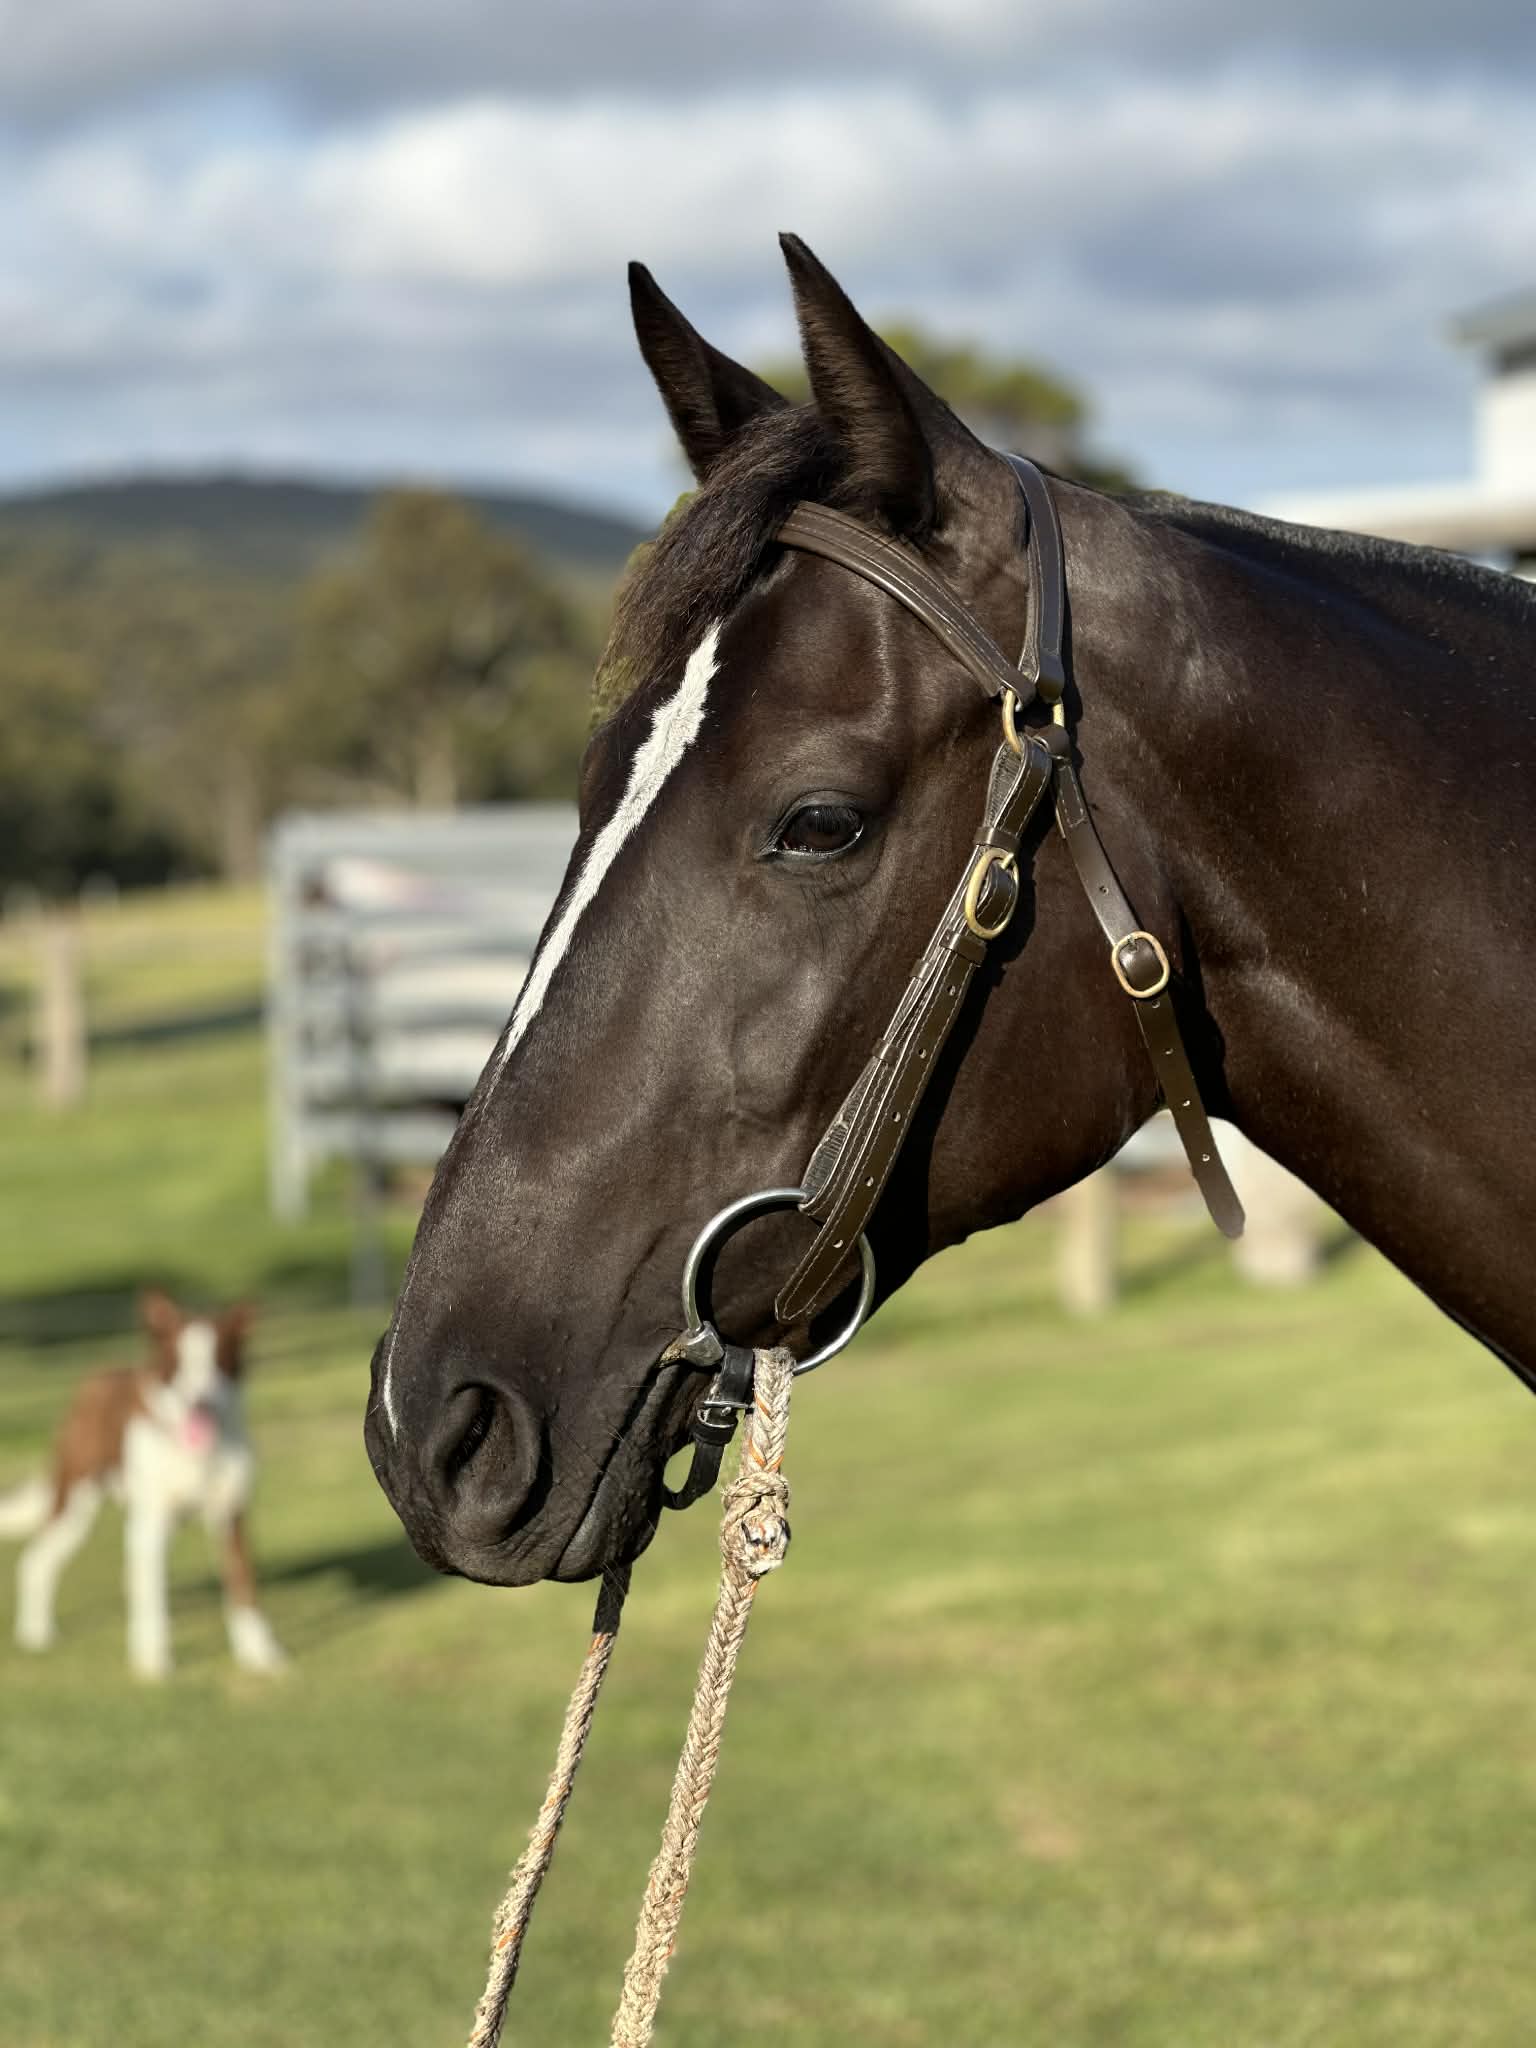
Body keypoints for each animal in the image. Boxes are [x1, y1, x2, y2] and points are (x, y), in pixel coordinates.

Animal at [0, 1290, 286, 1679]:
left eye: (219, 1361)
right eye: (179, 1363)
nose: (200, 1402)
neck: (195, 1452)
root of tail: (95, 1378)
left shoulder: (231, 1516)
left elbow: (244, 1591)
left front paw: (260, 1657)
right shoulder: (151, 1522)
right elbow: (154, 1597)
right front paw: (154, 1664)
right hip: (76, 1504)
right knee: (37, 1561)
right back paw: (37, 1634)